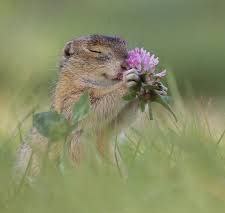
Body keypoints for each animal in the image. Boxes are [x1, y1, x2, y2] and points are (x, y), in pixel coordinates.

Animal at [15, 35, 141, 177]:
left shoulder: (106, 129)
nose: (126, 64)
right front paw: (128, 81)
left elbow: (118, 121)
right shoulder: (71, 99)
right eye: (95, 51)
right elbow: (95, 107)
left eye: (125, 45)